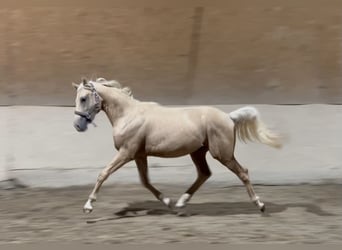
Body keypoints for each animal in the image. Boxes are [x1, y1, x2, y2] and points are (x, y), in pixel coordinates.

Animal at [72, 78, 280, 215]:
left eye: (83, 98)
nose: (77, 125)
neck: (128, 115)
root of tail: (229, 117)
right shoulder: (139, 155)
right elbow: (145, 181)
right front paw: (167, 201)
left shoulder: (127, 153)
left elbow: (103, 173)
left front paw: (88, 206)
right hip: (198, 153)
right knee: (204, 174)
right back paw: (180, 203)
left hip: (223, 154)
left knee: (243, 173)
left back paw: (260, 205)